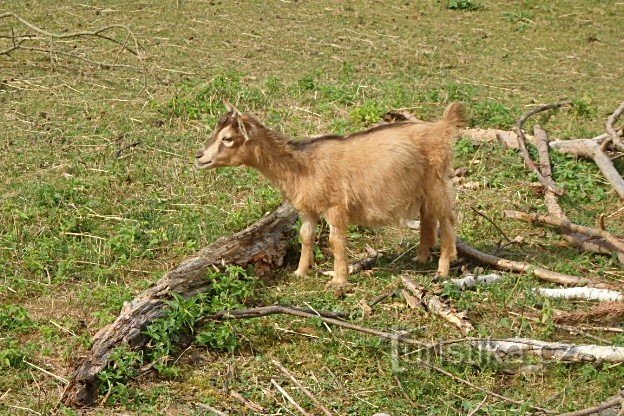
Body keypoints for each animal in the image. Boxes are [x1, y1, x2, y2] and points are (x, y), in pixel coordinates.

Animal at [197, 102, 466, 288]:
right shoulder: (307, 210)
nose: (199, 157)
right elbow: (306, 237)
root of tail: (442, 128)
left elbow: (335, 240)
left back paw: (443, 269)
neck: (303, 165)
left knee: (448, 221)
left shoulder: (335, 206)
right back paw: (421, 258)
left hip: (437, 181)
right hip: (422, 188)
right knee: (428, 218)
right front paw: (300, 272)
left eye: (227, 138)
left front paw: (338, 280)